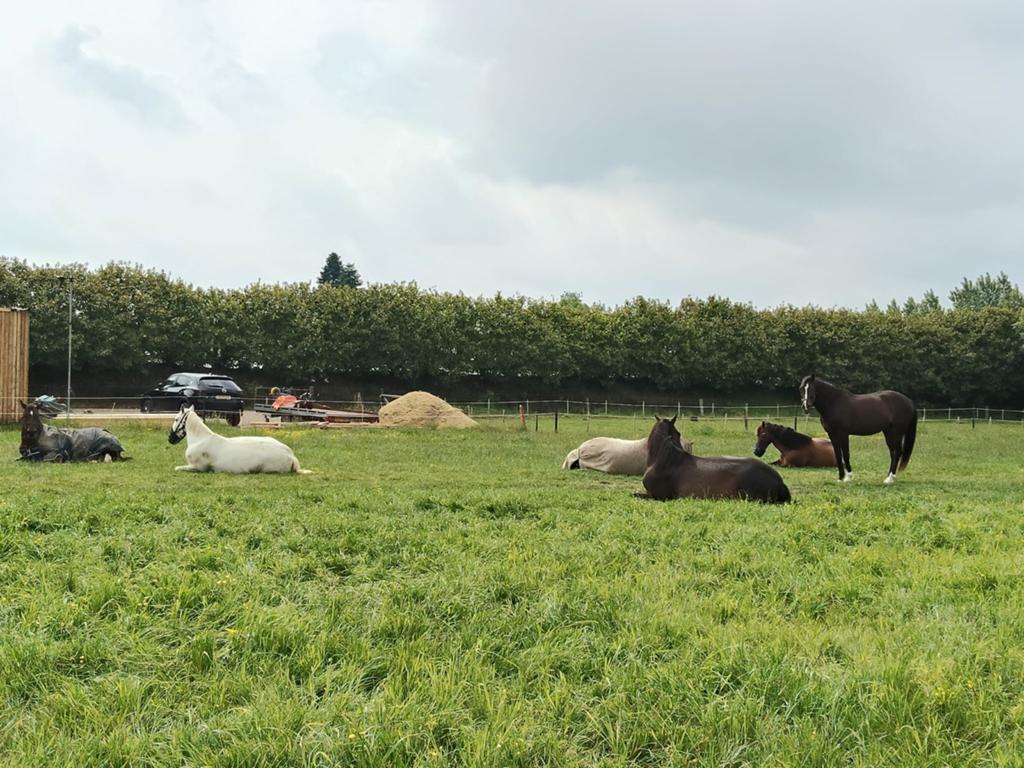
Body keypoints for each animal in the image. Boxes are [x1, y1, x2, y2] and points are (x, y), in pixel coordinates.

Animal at [169, 406, 311, 474]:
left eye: (176, 419)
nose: (170, 439)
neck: (200, 440)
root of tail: (290, 455)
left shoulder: (197, 467)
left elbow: (176, 468)